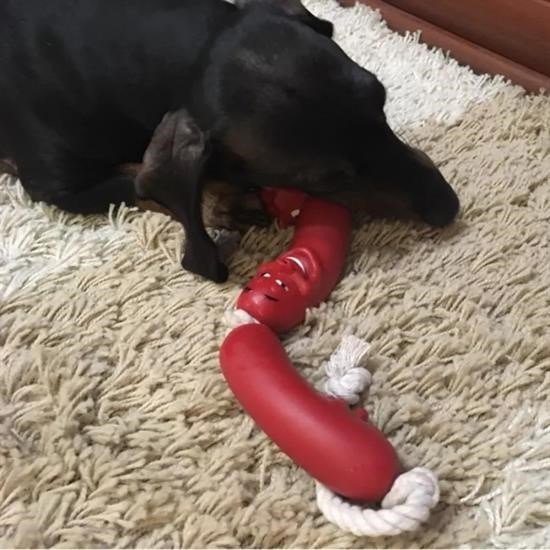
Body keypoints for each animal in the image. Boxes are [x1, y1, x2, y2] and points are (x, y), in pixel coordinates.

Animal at [0, 0, 459, 282]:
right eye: (326, 178)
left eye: (380, 97)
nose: (448, 206)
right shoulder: (55, 186)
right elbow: (139, 183)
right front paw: (220, 200)